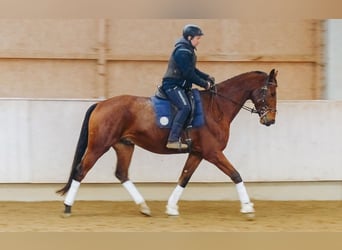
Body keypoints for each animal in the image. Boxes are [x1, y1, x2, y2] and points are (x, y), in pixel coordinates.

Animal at [56, 68, 278, 217]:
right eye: (271, 92)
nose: (270, 120)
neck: (217, 107)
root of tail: (101, 104)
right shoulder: (213, 153)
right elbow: (235, 175)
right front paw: (248, 207)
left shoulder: (197, 153)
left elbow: (184, 178)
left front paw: (171, 208)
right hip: (98, 146)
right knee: (81, 171)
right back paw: (67, 207)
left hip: (124, 145)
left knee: (122, 174)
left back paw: (144, 207)